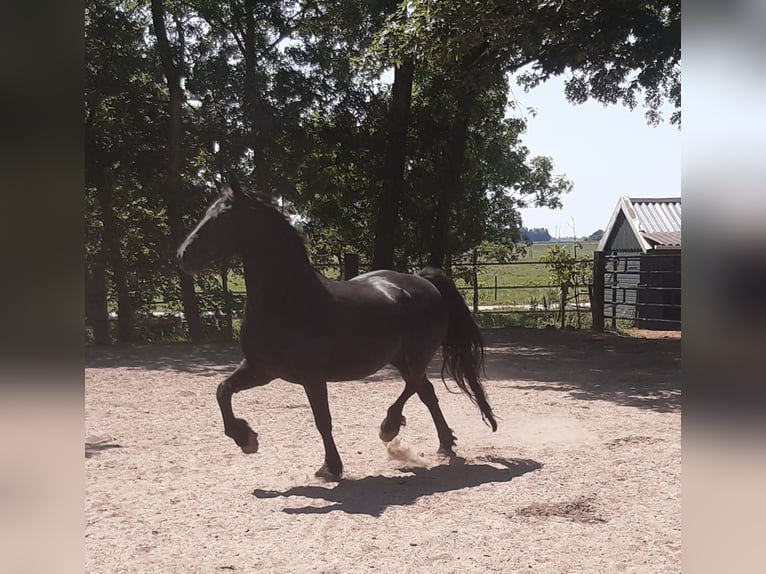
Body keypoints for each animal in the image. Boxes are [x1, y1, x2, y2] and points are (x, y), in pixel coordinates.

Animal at [180, 179, 498, 482]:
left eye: (223, 216)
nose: (183, 255)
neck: (288, 301)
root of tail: (424, 281)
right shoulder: (260, 369)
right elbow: (223, 391)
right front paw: (246, 439)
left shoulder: (312, 377)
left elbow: (323, 420)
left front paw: (330, 467)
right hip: (400, 359)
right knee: (426, 392)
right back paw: (444, 444)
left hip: (414, 357)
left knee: (414, 387)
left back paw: (390, 428)